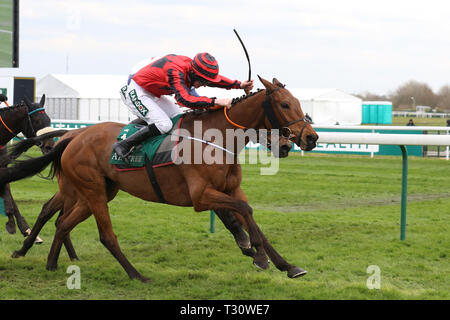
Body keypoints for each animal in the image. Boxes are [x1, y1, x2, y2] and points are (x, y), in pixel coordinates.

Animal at [0, 77, 318, 282]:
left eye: (298, 102)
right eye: (285, 105)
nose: (311, 137)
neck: (216, 138)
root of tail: (73, 137)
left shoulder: (232, 190)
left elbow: (250, 218)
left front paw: (284, 264)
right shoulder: (201, 196)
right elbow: (244, 213)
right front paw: (258, 255)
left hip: (96, 191)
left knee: (63, 222)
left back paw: (52, 264)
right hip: (92, 190)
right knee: (104, 234)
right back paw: (136, 275)